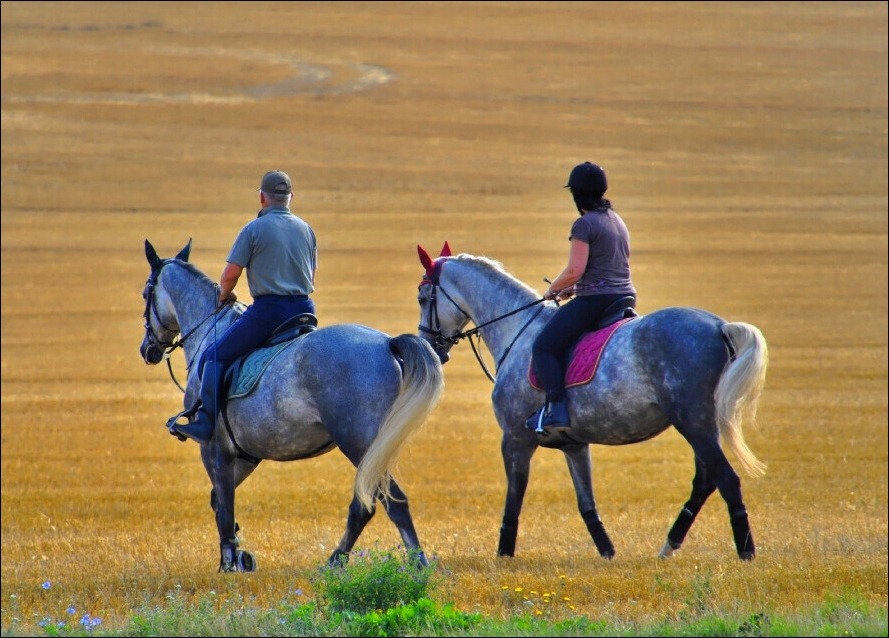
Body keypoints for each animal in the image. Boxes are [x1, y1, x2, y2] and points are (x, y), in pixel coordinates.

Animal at [139, 239, 444, 572]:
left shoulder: (214, 449)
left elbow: (224, 503)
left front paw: (229, 559)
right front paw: (240, 555)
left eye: (145, 294)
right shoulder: (244, 454)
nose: (147, 350)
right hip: (373, 449)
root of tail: (386, 343)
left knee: (388, 502)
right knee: (370, 504)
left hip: (359, 443)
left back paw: (407, 562)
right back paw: (343, 560)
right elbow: (219, 500)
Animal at [415, 243, 768, 561]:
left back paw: (745, 551)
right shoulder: (574, 445)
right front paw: (607, 552)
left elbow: (514, 497)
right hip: (702, 426)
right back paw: (669, 545)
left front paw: (504, 554)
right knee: (706, 480)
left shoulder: (515, 439)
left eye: (421, 297)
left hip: (694, 423)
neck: (516, 331)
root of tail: (719, 326)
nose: (430, 345)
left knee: (726, 479)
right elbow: (586, 502)